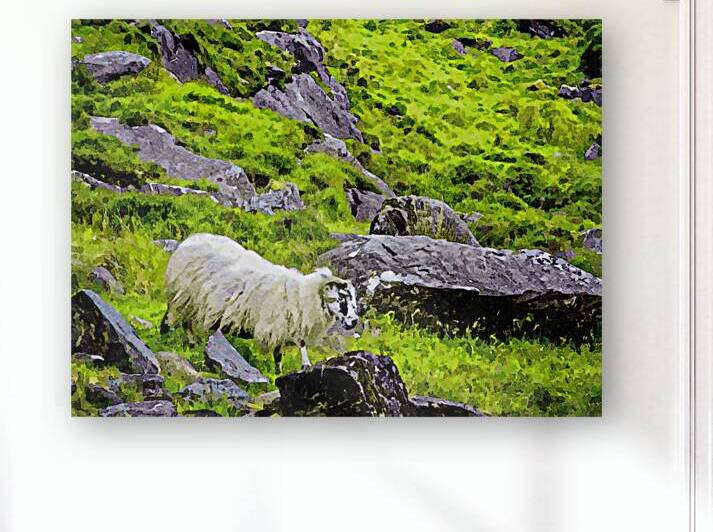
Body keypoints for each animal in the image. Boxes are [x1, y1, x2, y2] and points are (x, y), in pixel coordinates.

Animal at [161, 233, 359, 371]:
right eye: (341, 297)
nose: (355, 321)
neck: (302, 295)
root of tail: (189, 241)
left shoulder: (283, 329)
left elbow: (279, 356)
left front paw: (278, 373)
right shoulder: (282, 324)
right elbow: (300, 346)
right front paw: (305, 366)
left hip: (191, 303)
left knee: (187, 323)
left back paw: (191, 344)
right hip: (183, 296)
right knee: (171, 319)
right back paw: (168, 339)